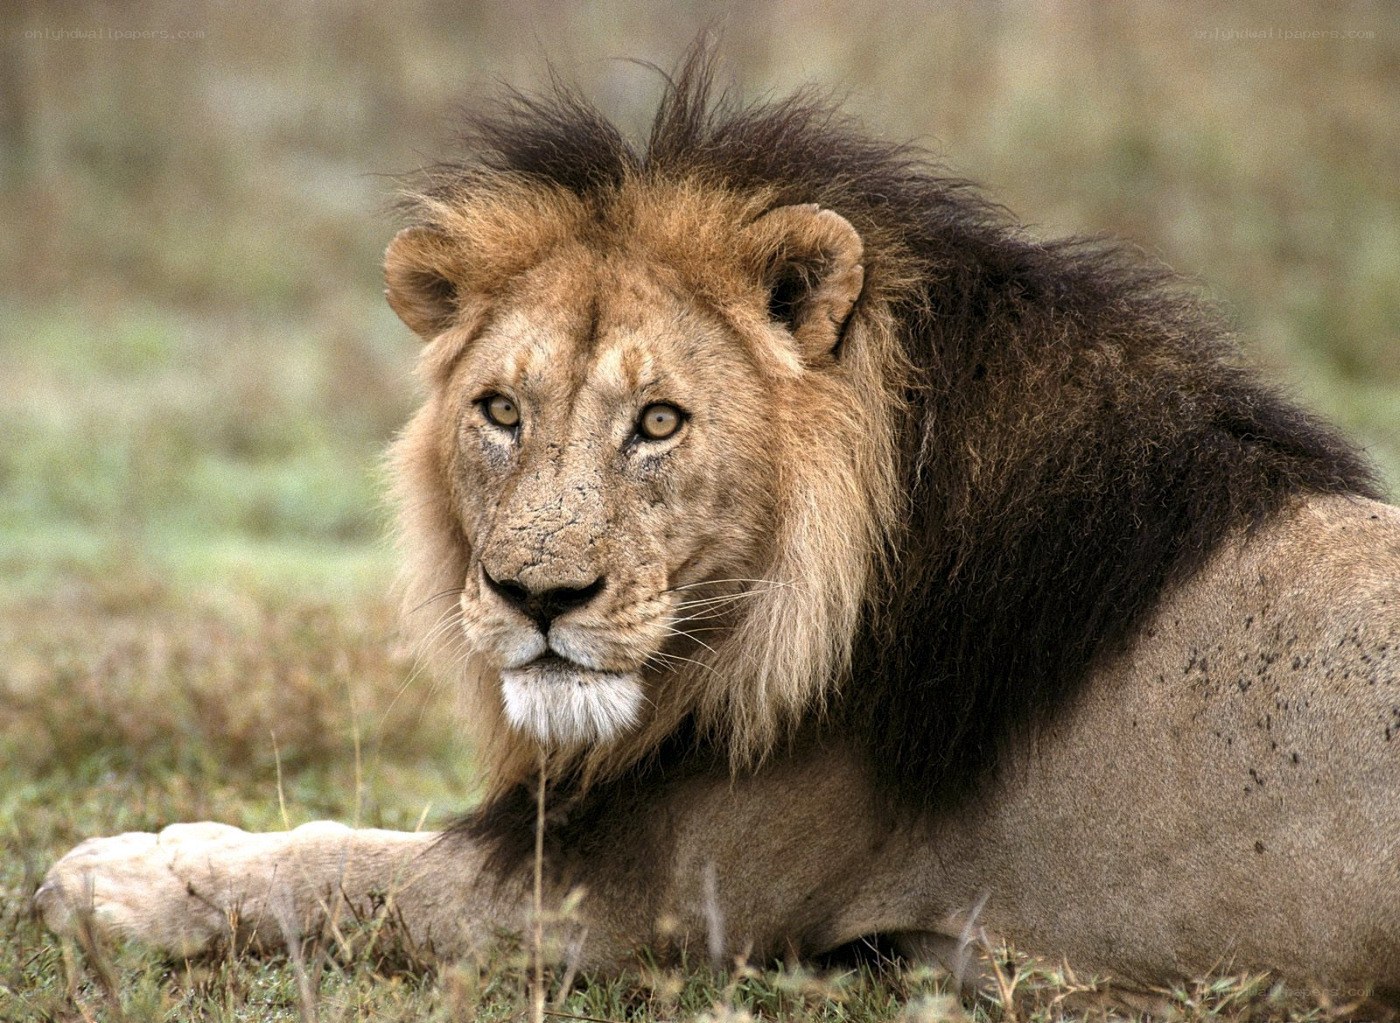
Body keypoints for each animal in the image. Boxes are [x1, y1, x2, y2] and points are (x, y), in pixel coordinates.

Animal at [37, 55, 1400, 1004]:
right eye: (498, 411)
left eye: (657, 423)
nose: (537, 599)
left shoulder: (634, 902)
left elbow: (351, 872)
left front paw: (107, 878)